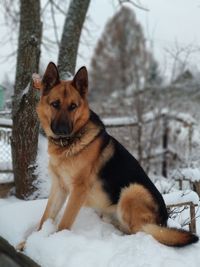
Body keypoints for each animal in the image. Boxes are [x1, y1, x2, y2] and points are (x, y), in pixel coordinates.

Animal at [31, 62, 198, 247]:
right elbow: (45, 218)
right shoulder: (59, 187)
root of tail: (164, 221)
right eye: (55, 104)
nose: (62, 130)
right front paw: (31, 241)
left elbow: (64, 223)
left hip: (132, 191)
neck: (69, 144)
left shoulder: (78, 191)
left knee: (141, 232)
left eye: (73, 106)